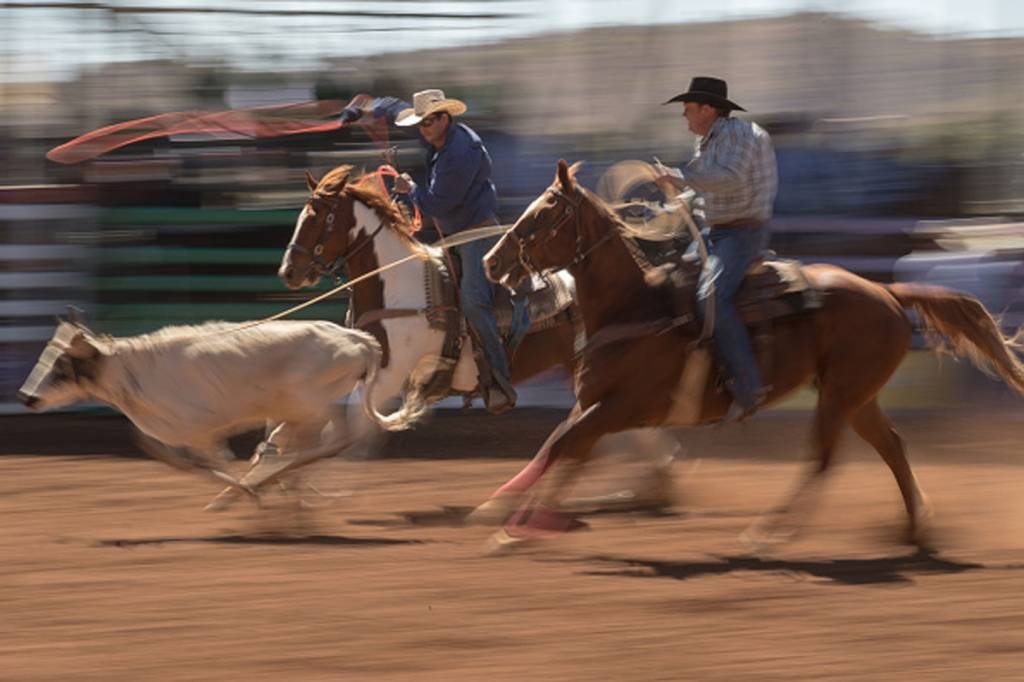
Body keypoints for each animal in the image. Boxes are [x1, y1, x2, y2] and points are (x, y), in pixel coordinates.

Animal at [481, 157, 1024, 540]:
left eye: (544, 213)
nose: (491, 261)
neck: (634, 307)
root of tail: (886, 291)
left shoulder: (624, 406)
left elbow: (566, 446)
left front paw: (519, 521)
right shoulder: (592, 404)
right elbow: (559, 445)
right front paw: (514, 517)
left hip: (840, 396)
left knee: (823, 458)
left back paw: (769, 532)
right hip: (855, 394)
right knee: (890, 445)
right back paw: (914, 528)